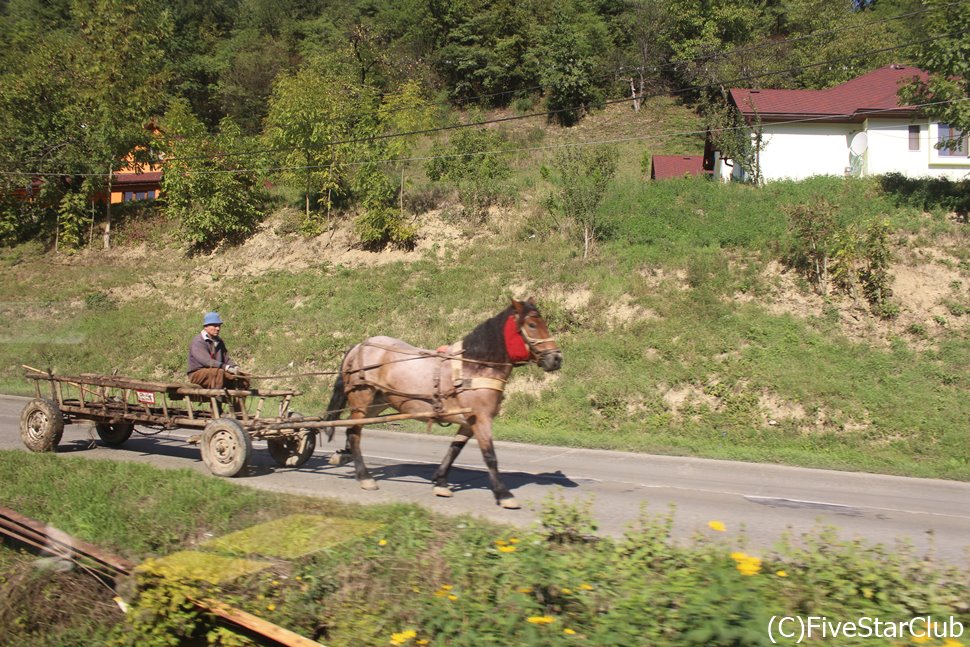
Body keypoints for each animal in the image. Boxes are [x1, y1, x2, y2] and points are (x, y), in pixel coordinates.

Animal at [326, 296, 564, 508]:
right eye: (532, 324)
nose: (556, 359)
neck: (475, 367)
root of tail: (359, 346)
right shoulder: (482, 419)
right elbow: (490, 456)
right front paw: (503, 494)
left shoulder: (469, 421)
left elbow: (454, 449)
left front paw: (440, 481)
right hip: (361, 399)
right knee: (354, 434)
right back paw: (365, 477)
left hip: (377, 403)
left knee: (353, 430)